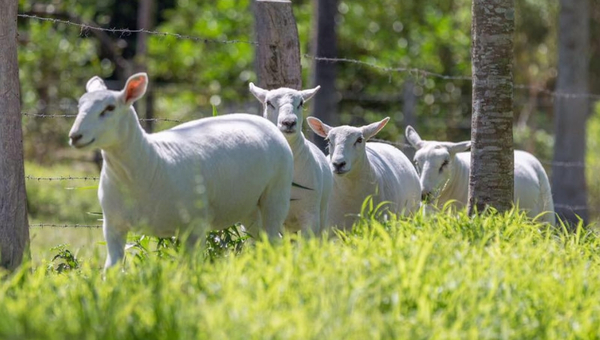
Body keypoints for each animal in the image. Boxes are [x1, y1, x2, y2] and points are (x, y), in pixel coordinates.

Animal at [68, 72, 292, 268]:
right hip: (248, 206)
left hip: (276, 194)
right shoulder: (113, 225)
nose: (75, 136)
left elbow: (191, 266)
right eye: (79, 106)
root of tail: (263, 121)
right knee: (260, 241)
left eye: (109, 108)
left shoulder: (194, 225)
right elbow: (111, 269)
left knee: (273, 239)